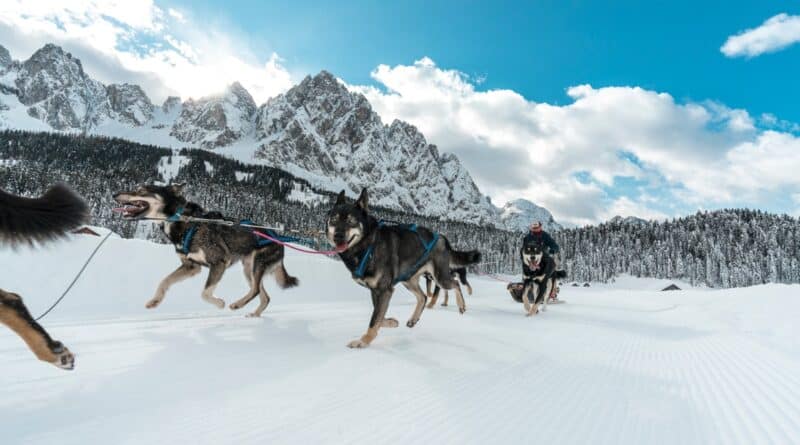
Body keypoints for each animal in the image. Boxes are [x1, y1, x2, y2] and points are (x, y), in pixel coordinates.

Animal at [113, 184, 298, 317]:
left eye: (142, 190)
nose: (115, 195)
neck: (185, 222)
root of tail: (278, 238)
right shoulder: (191, 266)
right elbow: (164, 281)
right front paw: (155, 300)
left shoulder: (219, 262)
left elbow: (205, 293)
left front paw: (220, 303)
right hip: (248, 270)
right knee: (264, 296)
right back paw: (255, 314)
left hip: (256, 266)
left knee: (256, 290)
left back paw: (237, 304)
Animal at [327, 189, 481, 348]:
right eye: (333, 220)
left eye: (351, 221)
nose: (338, 236)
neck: (368, 246)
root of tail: (442, 238)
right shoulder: (377, 291)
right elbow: (379, 316)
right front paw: (391, 322)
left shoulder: (384, 290)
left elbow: (375, 318)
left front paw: (364, 341)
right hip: (409, 280)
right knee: (423, 296)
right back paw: (413, 319)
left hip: (440, 278)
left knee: (455, 283)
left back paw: (461, 305)